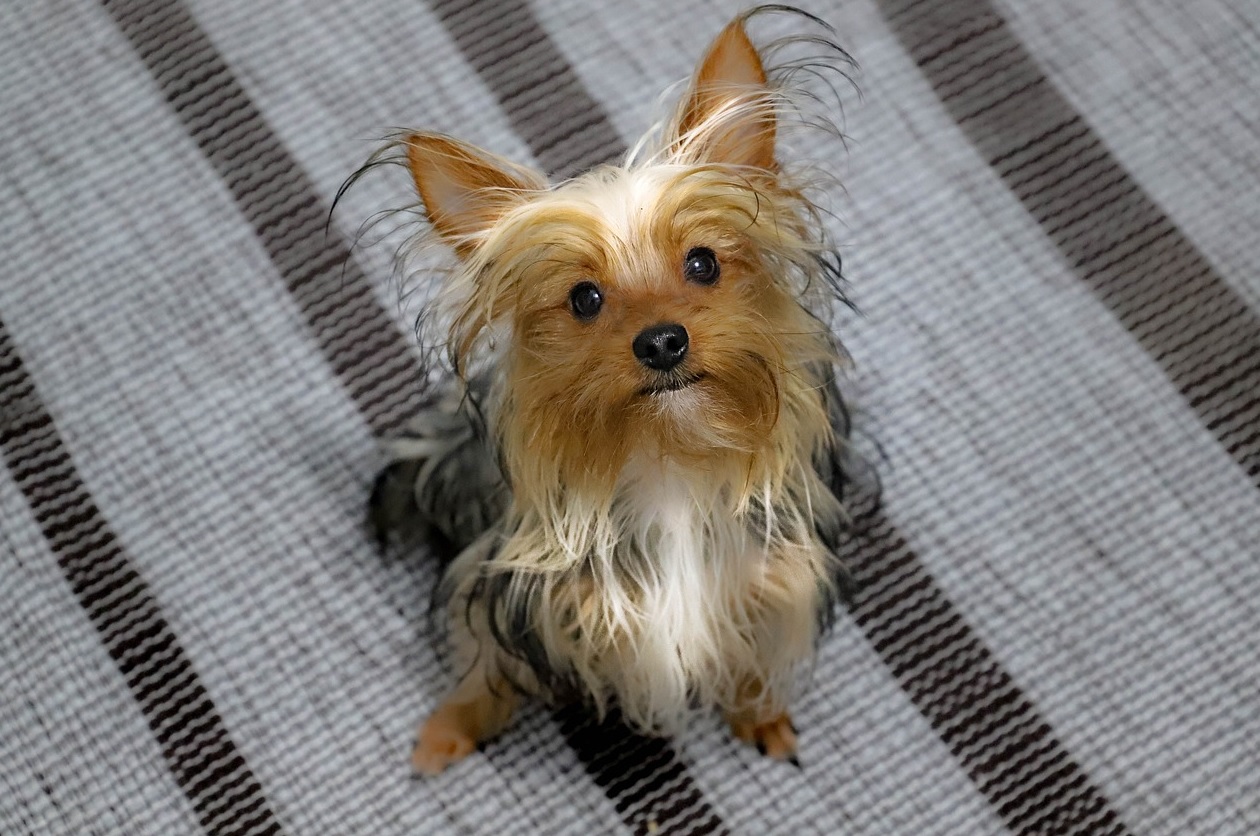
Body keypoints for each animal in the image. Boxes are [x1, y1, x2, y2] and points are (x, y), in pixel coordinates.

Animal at [364, 7, 859, 776]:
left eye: (703, 262)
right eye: (585, 299)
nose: (661, 342)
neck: (668, 454)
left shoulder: (776, 580)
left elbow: (755, 656)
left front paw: (761, 714)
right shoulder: (509, 595)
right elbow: (482, 666)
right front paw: (450, 730)